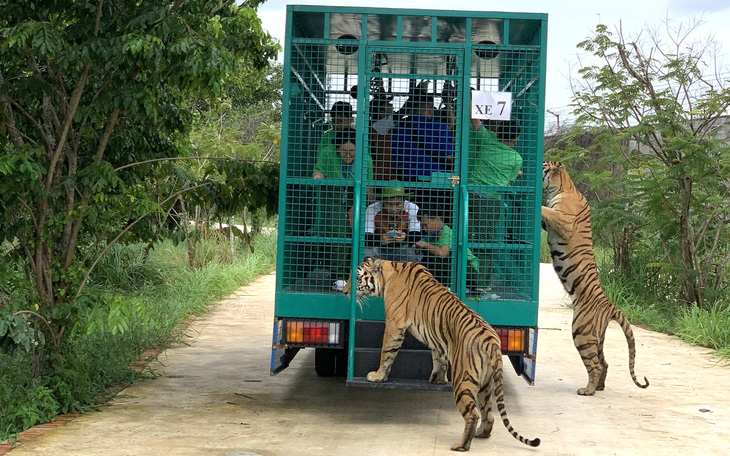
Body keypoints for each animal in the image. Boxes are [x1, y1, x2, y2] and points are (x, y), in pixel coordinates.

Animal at [342, 258, 540, 450]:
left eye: (357, 278)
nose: (344, 292)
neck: (389, 273)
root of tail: (492, 341)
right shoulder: (437, 338)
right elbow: (439, 358)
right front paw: (438, 379)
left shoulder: (394, 324)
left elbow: (387, 352)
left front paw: (377, 376)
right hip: (485, 384)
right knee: (489, 414)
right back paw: (482, 434)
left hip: (463, 380)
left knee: (473, 414)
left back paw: (461, 445)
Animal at [540, 160, 648, 396]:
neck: (562, 187)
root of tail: (610, 306)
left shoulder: (561, 219)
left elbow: (545, 210)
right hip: (596, 337)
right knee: (604, 363)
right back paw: (598, 387)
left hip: (581, 331)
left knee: (596, 365)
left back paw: (587, 390)